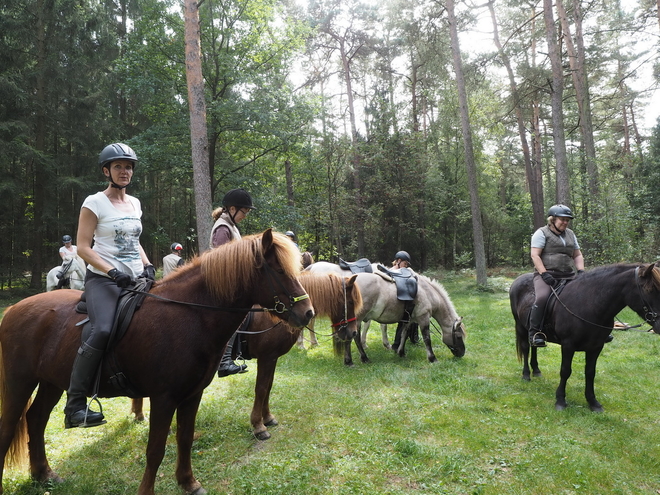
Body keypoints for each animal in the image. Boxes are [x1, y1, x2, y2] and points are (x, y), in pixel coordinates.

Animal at [0, 231, 314, 495]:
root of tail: (13, 309)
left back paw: (44, 474)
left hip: (52, 382)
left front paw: (189, 483)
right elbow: (156, 450)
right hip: (19, 382)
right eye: (279, 270)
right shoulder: (164, 398)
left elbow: (184, 438)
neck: (191, 315)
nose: (307, 312)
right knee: (10, 425)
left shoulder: (191, 395)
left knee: (36, 420)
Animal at [132, 272, 364, 442]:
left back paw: (138, 413)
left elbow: (268, 387)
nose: (353, 333)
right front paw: (258, 426)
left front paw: (268, 418)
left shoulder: (272, 359)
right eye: (350, 302)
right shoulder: (267, 357)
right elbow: (261, 389)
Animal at [510, 264, 660, 414]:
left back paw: (536, 370)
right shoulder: (568, 345)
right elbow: (565, 371)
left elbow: (590, 373)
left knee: (534, 346)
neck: (590, 304)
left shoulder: (596, 347)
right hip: (520, 326)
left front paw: (593, 402)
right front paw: (560, 400)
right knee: (525, 348)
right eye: (648, 289)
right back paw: (526, 375)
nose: (659, 324)